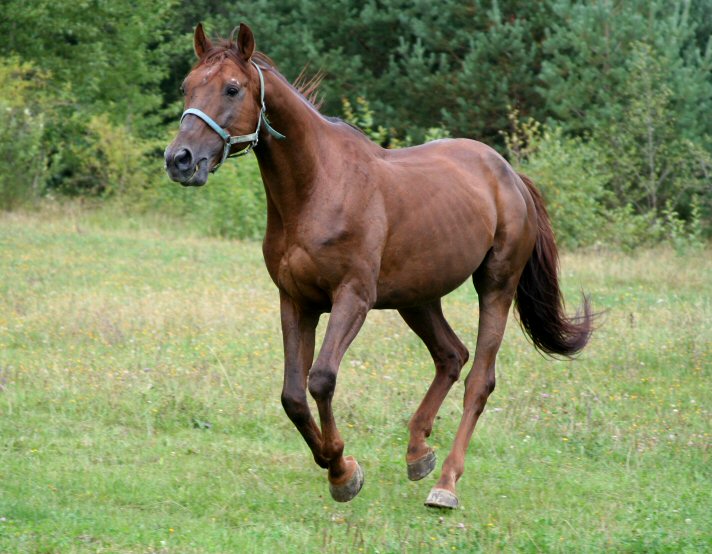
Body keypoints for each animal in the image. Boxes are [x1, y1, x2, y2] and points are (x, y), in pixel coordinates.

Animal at [164, 23, 592, 506]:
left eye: (233, 88)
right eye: (186, 87)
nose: (179, 160)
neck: (319, 186)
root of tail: (510, 176)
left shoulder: (353, 297)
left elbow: (321, 379)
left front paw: (342, 470)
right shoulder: (295, 300)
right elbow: (293, 395)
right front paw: (338, 468)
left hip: (496, 286)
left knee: (479, 379)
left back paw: (445, 483)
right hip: (417, 298)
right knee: (450, 356)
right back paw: (418, 452)